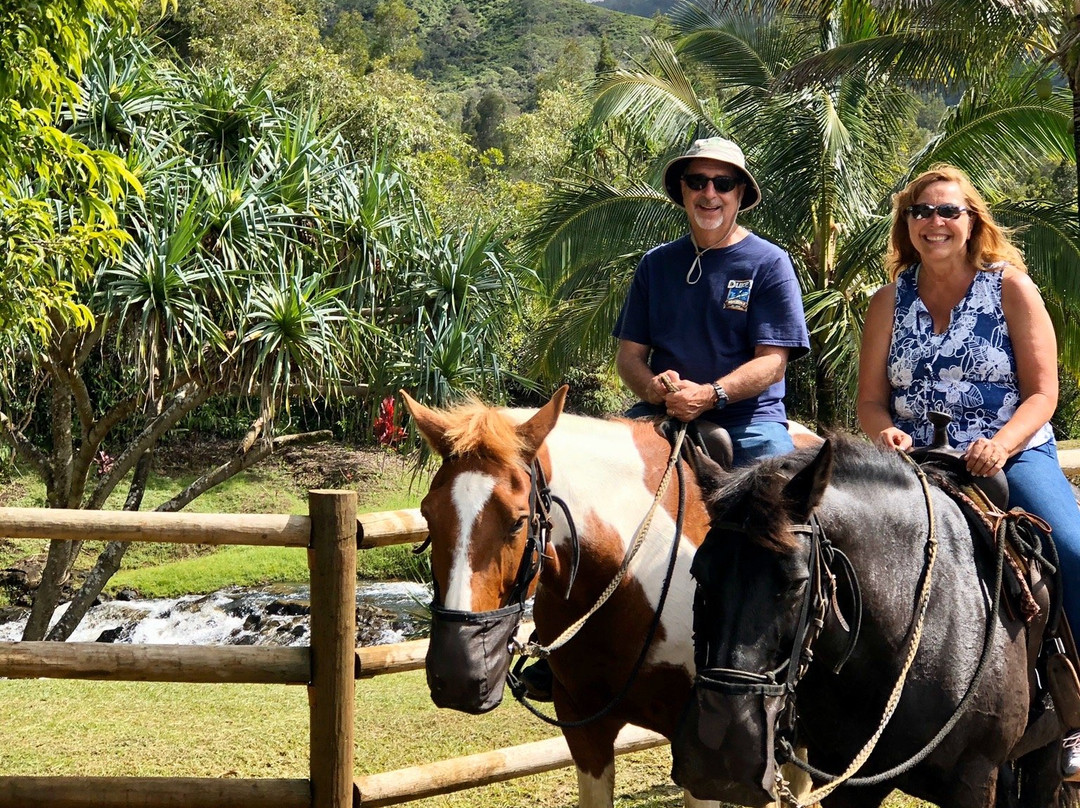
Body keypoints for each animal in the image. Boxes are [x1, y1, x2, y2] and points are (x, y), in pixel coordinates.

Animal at [406, 384, 816, 808]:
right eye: (428, 514)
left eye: (518, 521)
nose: (458, 676)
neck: (630, 574)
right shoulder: (585, 728)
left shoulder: (705, 755)